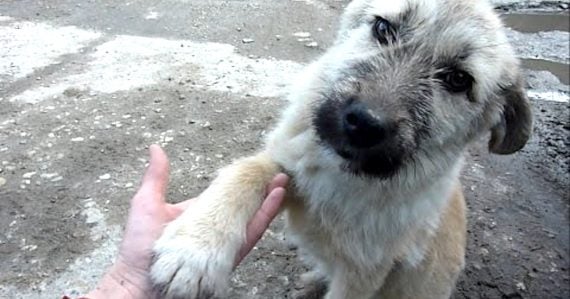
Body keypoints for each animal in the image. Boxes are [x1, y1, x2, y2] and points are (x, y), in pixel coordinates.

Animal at [149, 0, 532, 299]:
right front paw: (194, 249)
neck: (344, 178)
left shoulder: (364, 274)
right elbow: (246, 171)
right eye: (383, 28)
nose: (364, 122)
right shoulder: (289, 166)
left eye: (457, 80)